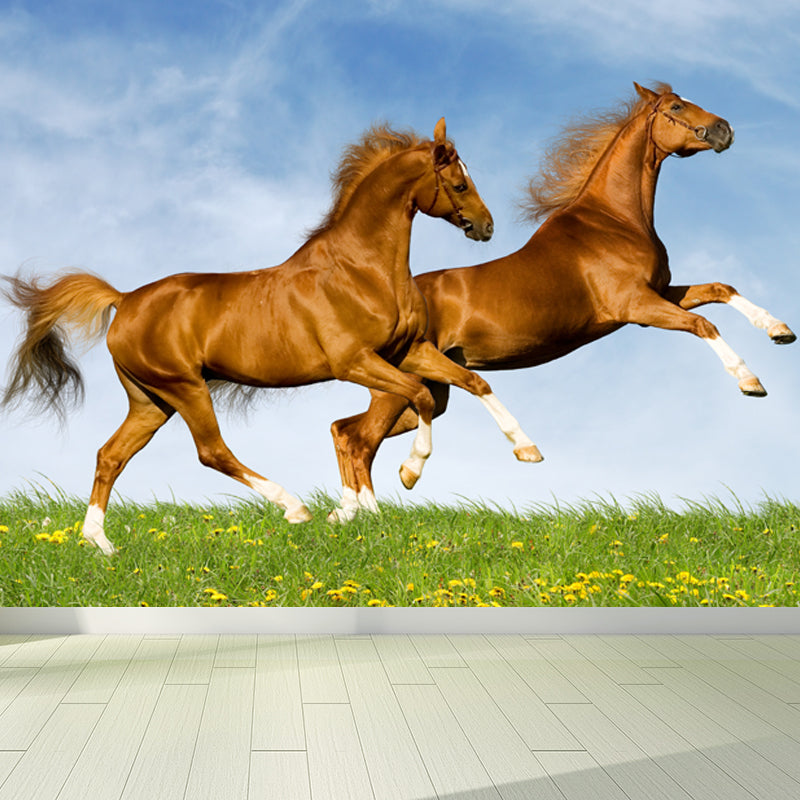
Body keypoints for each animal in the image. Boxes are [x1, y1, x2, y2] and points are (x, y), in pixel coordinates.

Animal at [2, 118, 542, 555]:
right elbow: (419, 400)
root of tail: (125, 298)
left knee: (111, 455)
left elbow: (475, 383)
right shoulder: (355, 361)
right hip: (185, 387)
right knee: (211, 451)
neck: (362, 269)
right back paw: (294, 507)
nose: (487, 227)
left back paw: (100, 543)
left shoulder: (409, 351)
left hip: (150, 400)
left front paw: (527, 450)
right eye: (458, 182)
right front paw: (405, 476)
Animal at [326, 83, 795, 521]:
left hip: (428, 391)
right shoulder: (638, 307)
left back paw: (346, 511)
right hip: (401, 388)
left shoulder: (661, 293)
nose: (724, 129)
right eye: (677, 106)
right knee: (358, 439)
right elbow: (704, 326)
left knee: (345, 430)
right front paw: (750, 382)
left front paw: (780, 330)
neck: (614, 221)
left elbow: (721, 289)